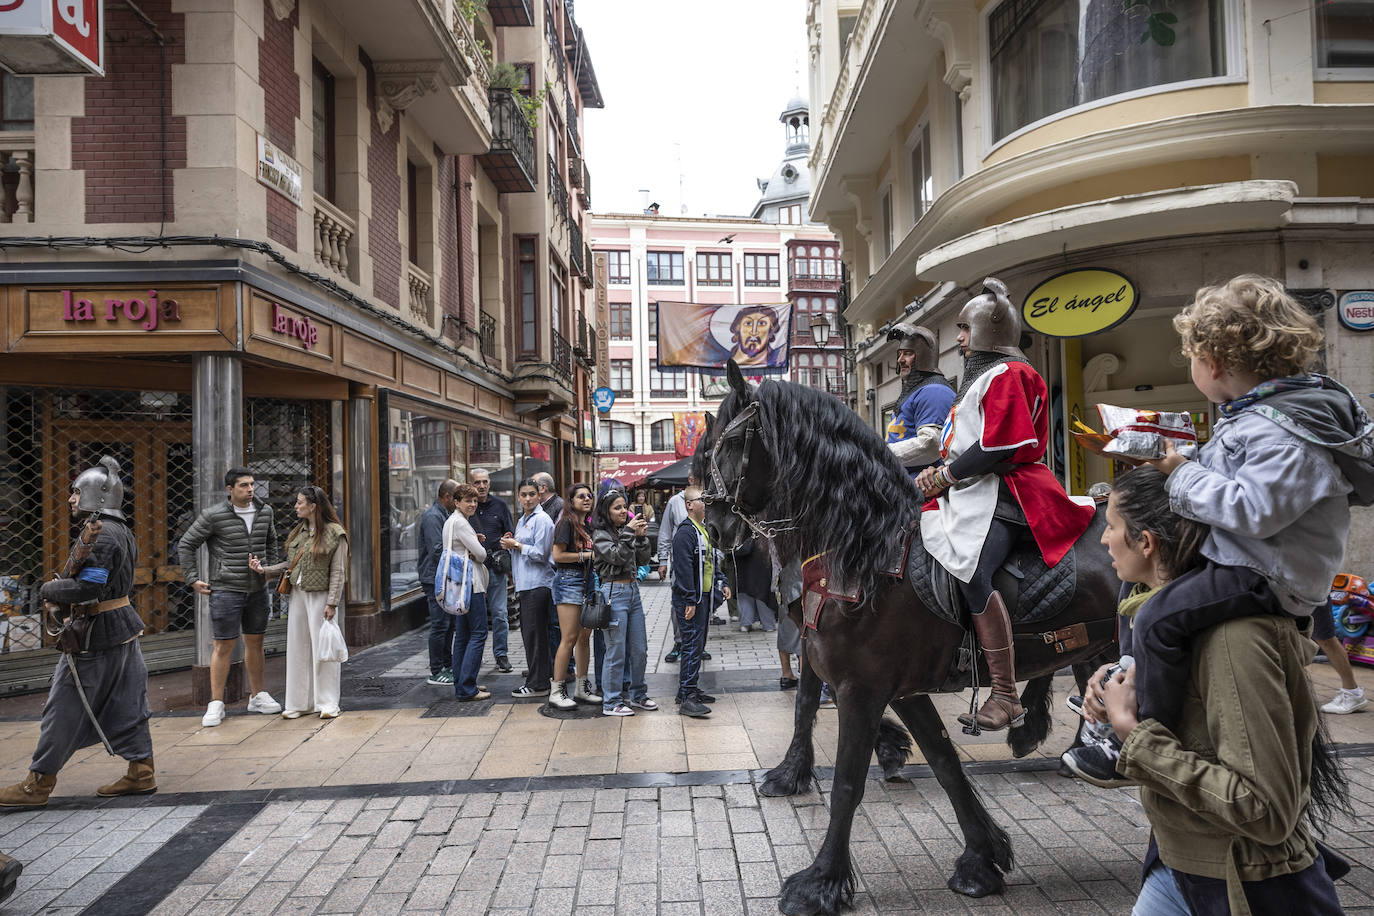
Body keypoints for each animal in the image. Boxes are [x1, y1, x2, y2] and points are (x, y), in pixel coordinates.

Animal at [692, 365, 1121, 916]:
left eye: (730, 443)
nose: (716, 529)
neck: (864, 552)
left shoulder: (862, 687)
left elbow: (846, 781)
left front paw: (819, 882)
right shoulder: (894, 686)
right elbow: (942, 762)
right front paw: (981, 857)